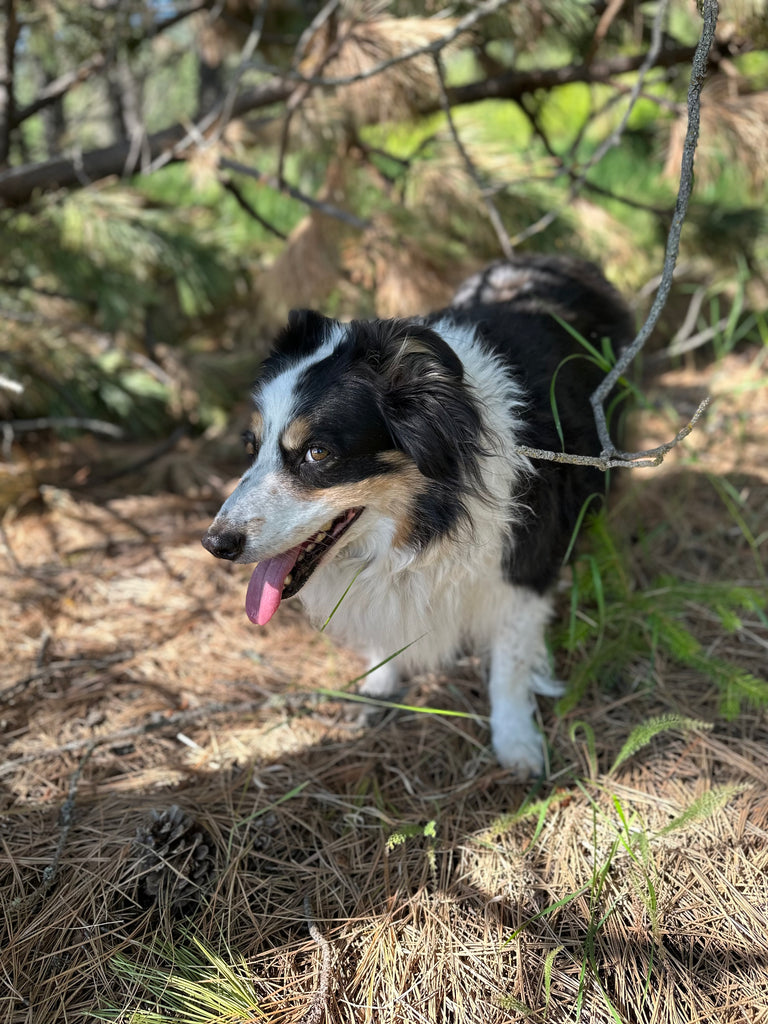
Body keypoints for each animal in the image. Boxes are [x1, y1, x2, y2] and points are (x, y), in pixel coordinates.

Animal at [201, 256, 634, 774]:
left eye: (317, 452)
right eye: (251, 447)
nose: (216, 544)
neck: (430, 517)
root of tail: (562, 259)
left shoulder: (523, 565)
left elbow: (509, 661)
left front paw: (516, 741)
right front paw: (379, 687)